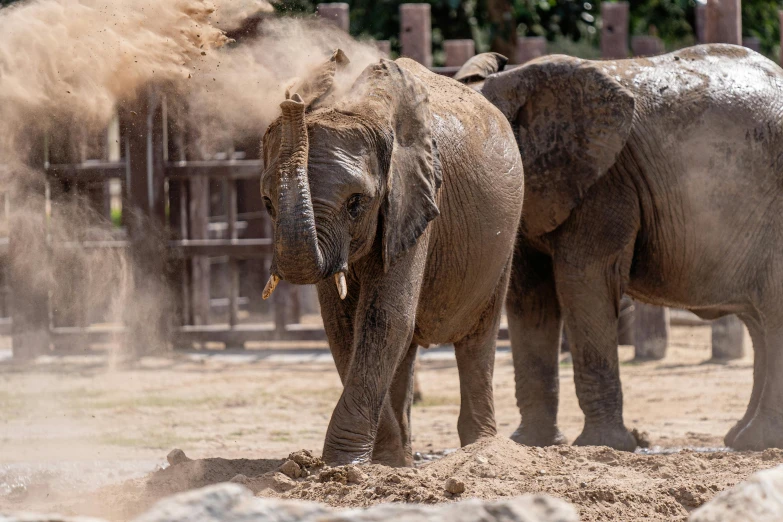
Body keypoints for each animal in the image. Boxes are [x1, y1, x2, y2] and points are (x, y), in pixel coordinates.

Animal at [264, 49, 528, 464]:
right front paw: (382, 464)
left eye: (356, 203)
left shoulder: (417, 198)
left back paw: (480, 448)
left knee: (476, 339)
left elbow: (384, 318)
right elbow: (343, 326)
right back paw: (404, 458)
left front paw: (344, 464)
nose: (292, 102)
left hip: (504, 238)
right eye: (268, 204)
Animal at [456, 44, 783, 448]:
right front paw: (532, 444)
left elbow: (583, 282)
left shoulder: (607, 184)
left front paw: (604, 445)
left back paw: (757, 440)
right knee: (759, 320)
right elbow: (530, 296)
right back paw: (740, 438)